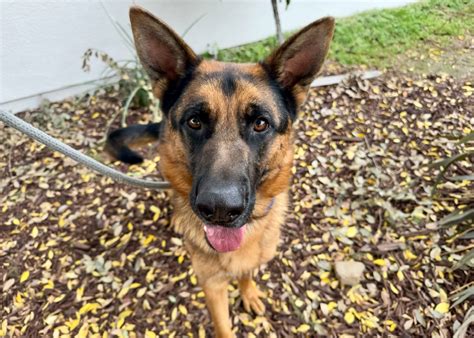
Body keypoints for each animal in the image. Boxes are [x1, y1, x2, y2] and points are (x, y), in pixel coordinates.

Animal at [105, 6, 334, 336]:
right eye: (195, 121)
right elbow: (224, 326)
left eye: (260, 123)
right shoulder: (211, 286)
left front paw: (248, 292)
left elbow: (246, 273)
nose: (220, 210)